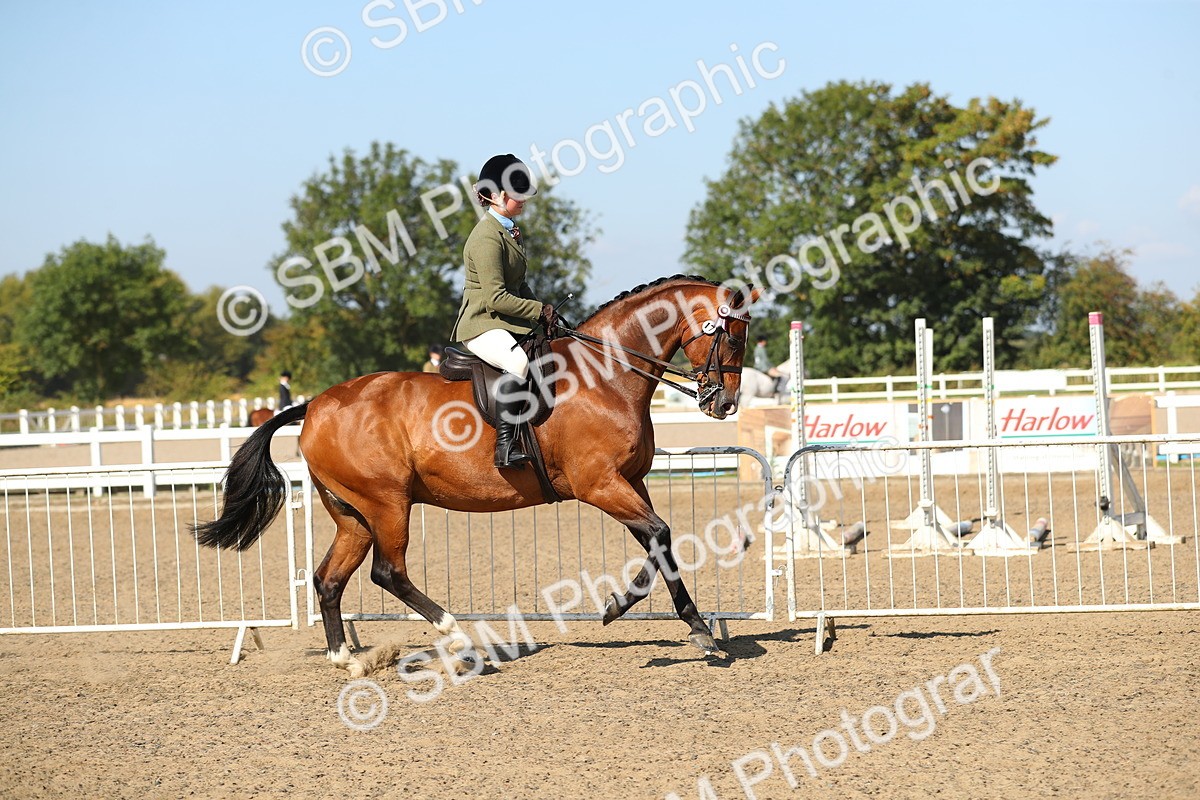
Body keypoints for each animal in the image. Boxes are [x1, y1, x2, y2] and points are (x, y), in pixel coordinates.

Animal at [194, 275, 758, 676]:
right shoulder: (600, 484)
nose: (724, 404)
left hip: (353, 513)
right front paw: (642, 614)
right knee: (388, 572)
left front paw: (671, 620)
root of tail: (314, 405)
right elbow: (660, 534)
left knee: (330, 578)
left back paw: (348, 660)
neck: (608, 375)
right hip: (388, 503)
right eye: (732, 335)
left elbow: (658, 541)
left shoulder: (631, 482)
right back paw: (459, 637)